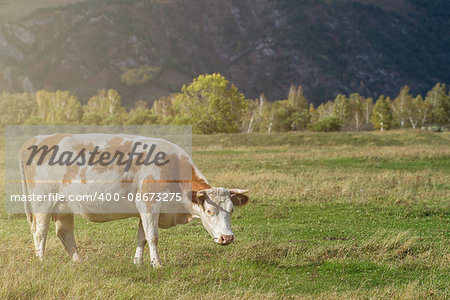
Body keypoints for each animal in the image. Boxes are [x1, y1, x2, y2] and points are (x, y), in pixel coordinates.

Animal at [18, 134, 250, 268]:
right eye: (210, 211)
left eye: (231, 210)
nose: (227, 238)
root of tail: (35, 140)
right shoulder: (149, 203)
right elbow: (153, 237)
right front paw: (157, 265)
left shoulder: (146, 210)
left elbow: (142, 237)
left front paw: (138, 263)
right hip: (43, 203)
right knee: (40, 233)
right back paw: (41, 262)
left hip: (64, 207)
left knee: (64, 233)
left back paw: (79, 261)